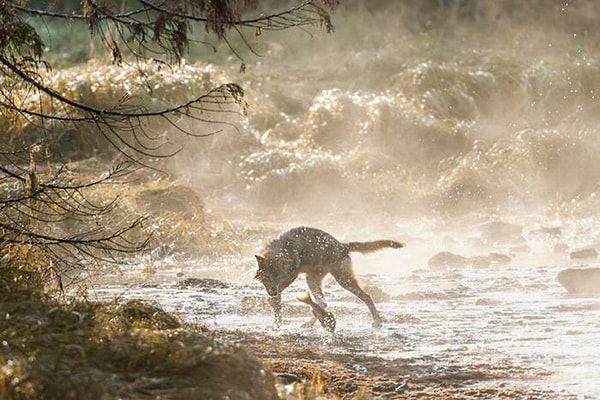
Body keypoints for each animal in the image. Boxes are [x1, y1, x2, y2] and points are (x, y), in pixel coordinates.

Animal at [253, 227, 404, 330]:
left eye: (278, 277)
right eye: (267, 277)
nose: (272, 292)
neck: (283, 247)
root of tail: (342, 245)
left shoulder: (292, 275)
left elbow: (278, 295)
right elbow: (277, 305)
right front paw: (275, 320)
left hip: (343, 280)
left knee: (367, 296)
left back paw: (377, 321)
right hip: (313, 281)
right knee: (322, 304)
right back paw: (308, 324)